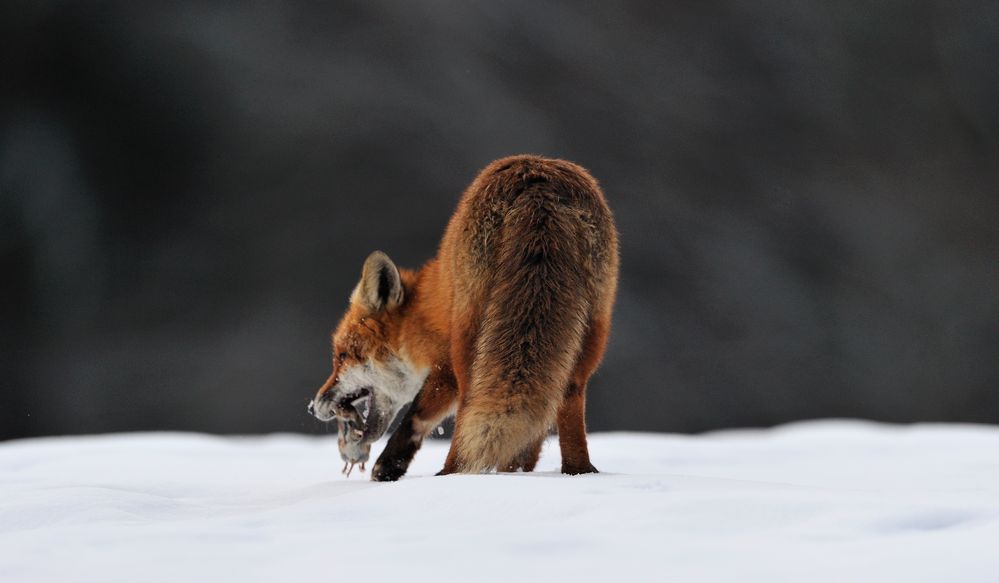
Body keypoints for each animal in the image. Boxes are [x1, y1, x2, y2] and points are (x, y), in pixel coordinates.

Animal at [308, 154, 616, 480]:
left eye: (342, 356)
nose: (314, 405)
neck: (431, 310)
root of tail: (538, 181)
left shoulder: (444, 368)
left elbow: (416, 416)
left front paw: (387, 467)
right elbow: (527, 443)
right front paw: (516, 472)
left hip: (470, 348)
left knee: (469, 411)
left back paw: (453, 474)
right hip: (587, 338)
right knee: (568, 399)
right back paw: (578, 473)